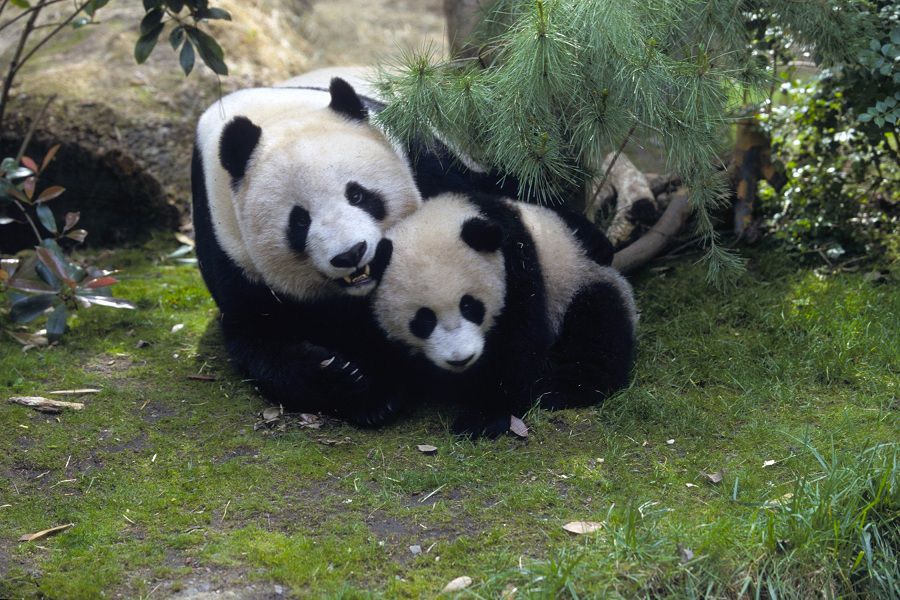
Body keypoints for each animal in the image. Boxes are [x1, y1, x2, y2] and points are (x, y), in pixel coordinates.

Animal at [191, 78, 428, 426]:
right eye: (300, 221)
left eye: (357, 195)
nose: (351, 254)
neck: (276, 115)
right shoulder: (226, 245)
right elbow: (259, 336)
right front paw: (355, 383)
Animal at [370, 192, 636, 436]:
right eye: (424, 320)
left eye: (470, 306)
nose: (460, 359)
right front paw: (380, 403)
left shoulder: (516, 265)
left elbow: (517, 344)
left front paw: (483, 417)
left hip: (575, 281)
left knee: (599, 326)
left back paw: (562, 387)